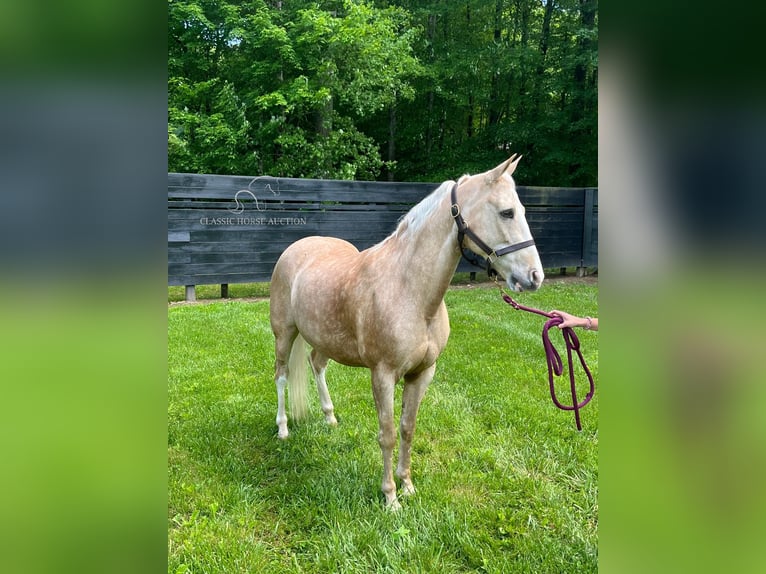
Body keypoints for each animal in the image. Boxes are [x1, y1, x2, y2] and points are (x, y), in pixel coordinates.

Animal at [270, 155, 544, 510]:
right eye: (506, 212)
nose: (534, 276)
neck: (409, 290)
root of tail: (295, 249)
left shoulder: (422, 373)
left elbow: (407, 429)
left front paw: (407, 485)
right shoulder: (383, 375)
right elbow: (386, 434)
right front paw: (390, 498)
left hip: (323, 339)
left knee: (317, 365)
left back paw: (330, 419)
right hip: (284, 335)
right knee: (281, 376)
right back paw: (283, 429)